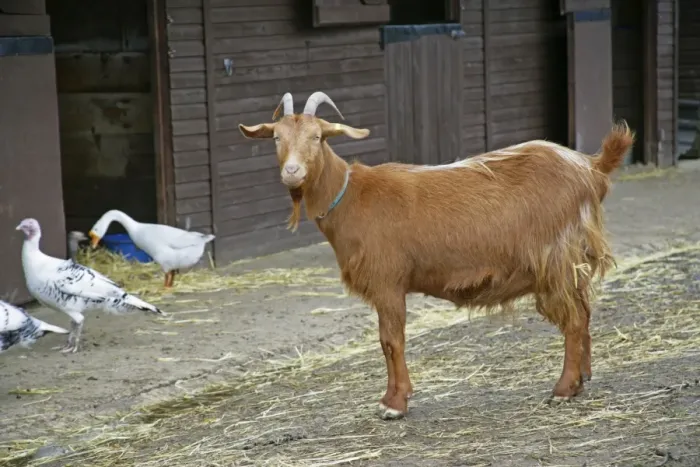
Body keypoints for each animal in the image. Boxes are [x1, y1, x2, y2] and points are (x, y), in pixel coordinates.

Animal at [239, 92, 634, 420]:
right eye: (276, 138)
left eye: (318, 137)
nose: (292, 172)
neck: (351, 196)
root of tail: (590, 167)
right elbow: (387, 342)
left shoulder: (388, 283)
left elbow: (390, 341)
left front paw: (394, 403)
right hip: (571, 261)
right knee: (584, 311)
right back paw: (582, 378)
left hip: (555, 259)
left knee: (573, 319)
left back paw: (564, 388)